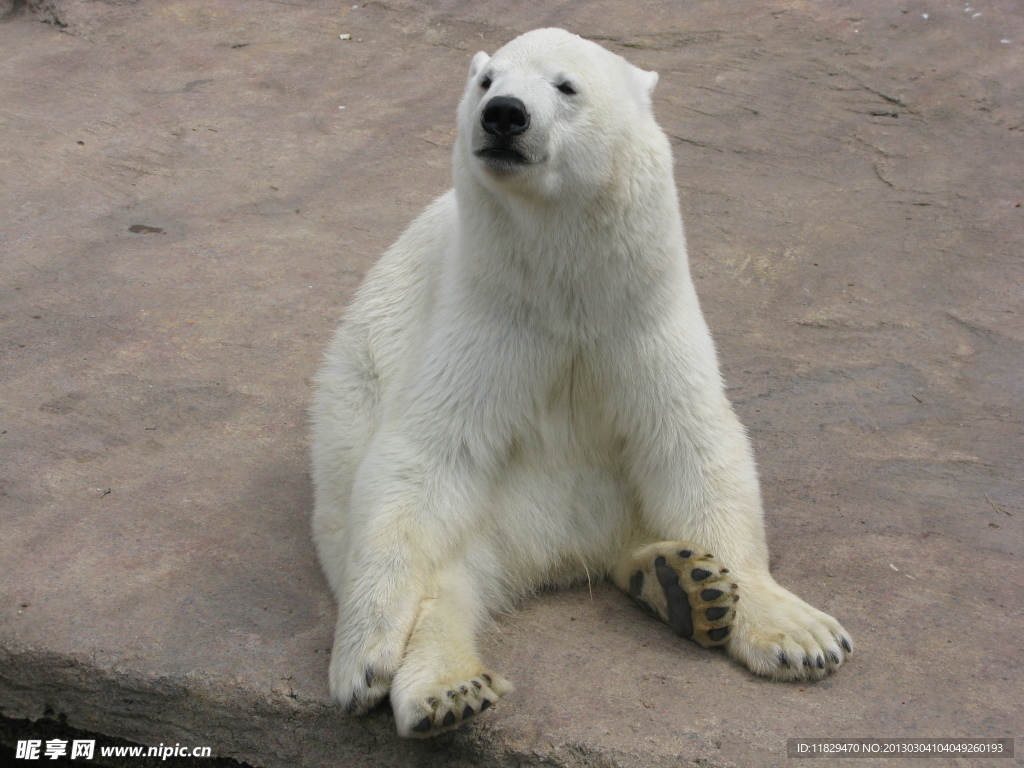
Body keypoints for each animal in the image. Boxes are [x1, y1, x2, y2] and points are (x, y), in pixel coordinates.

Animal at [307, 28, 851, 741]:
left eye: (565, 86)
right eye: (487, 81)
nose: (504, 114)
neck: (564, 280)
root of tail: (550, 553)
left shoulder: (639, 307)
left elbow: (691, 439)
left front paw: (801, 633)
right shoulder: (488, 314)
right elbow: (429, 453)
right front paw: (360, 664)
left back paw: (685, 583)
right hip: (390, 467)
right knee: (439, 569)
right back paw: (450, 688)